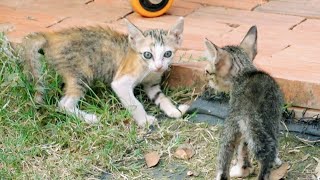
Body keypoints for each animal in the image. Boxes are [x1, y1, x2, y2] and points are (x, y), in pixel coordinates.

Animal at [20, 16, 189, 126]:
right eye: (148, 54)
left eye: (167, 54)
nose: (159, 66)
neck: (146, 68)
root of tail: (51, 36)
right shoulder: (121, 82)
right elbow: (134, 103)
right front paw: (145, 121)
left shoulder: (152, 84)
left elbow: (160, 97)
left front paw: (173, 110)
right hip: (81, 74)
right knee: (64, 104)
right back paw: (89, 118)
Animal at [204, 26, 284, 179]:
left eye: (208, 72)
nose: (207, 79)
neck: (245, 72)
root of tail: (249, 108)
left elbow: (241, 150)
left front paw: (242, 170)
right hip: (266, 123)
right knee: (268, 152)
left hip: (232, 126)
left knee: (224, 160)